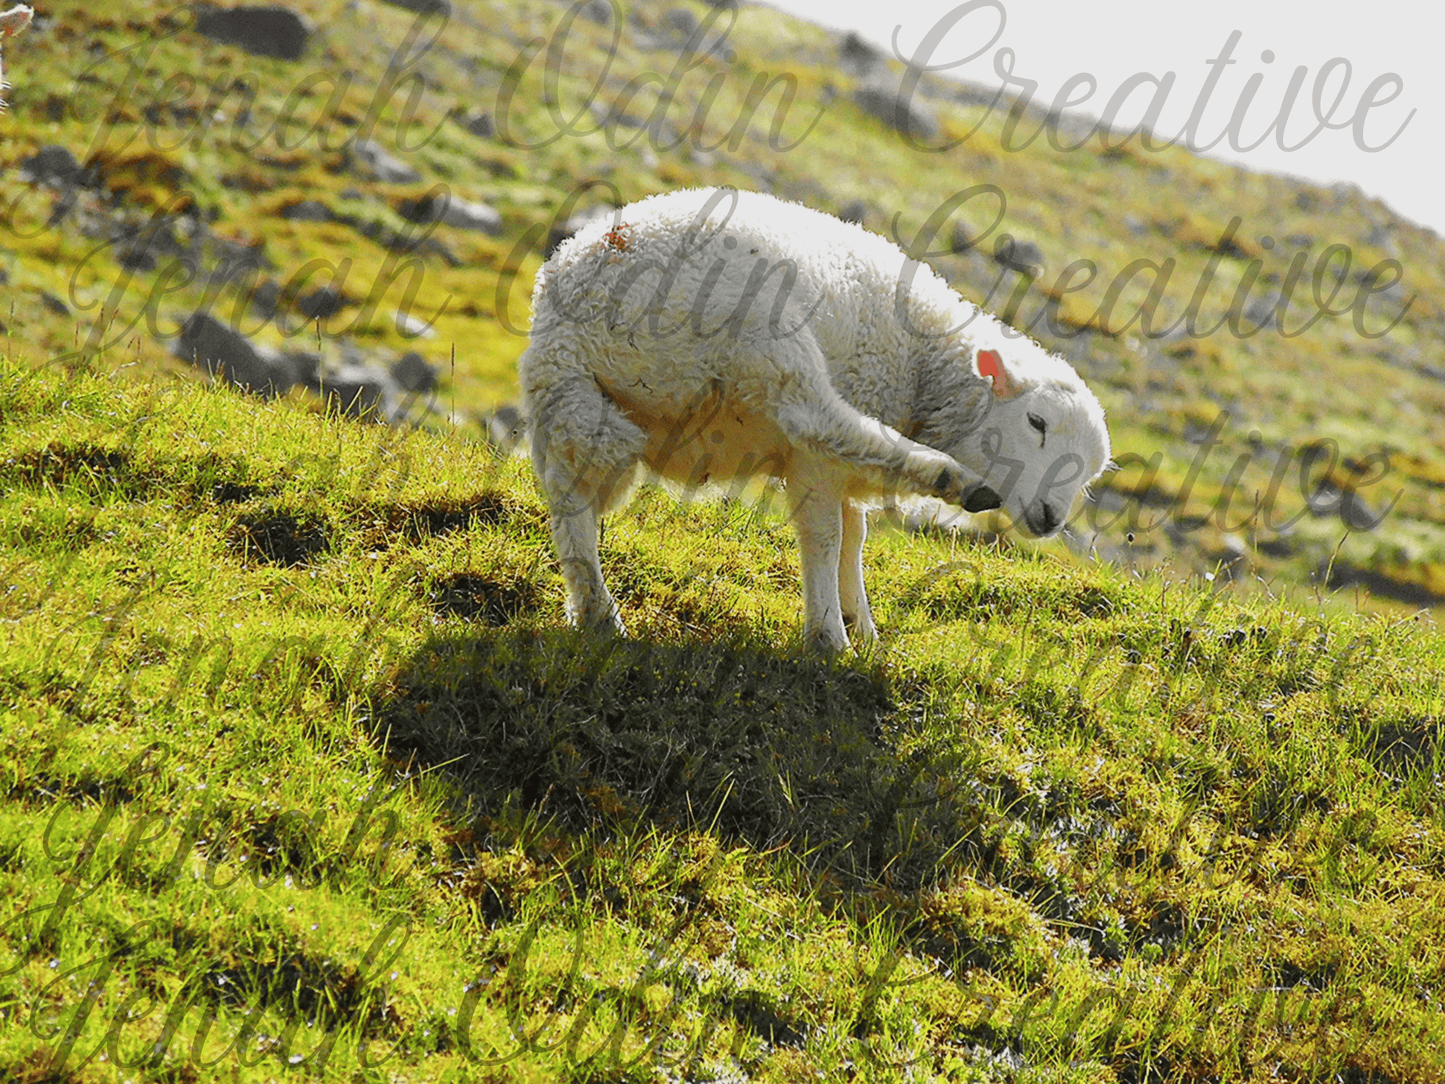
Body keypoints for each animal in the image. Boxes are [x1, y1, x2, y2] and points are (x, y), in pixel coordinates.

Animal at [520, 187, 1111, 651]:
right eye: (1036, 422)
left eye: (1090, 473)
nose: (1052, 518)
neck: (923, 366)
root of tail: (577, 304)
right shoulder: (816, 460)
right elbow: (827, 535)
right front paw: (830, 636)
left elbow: (855, 538)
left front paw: (862, 625)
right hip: (764, 337)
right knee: (820, 421)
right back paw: (953, 478)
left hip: (578, 405)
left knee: (573, 502)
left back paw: (597, 613)